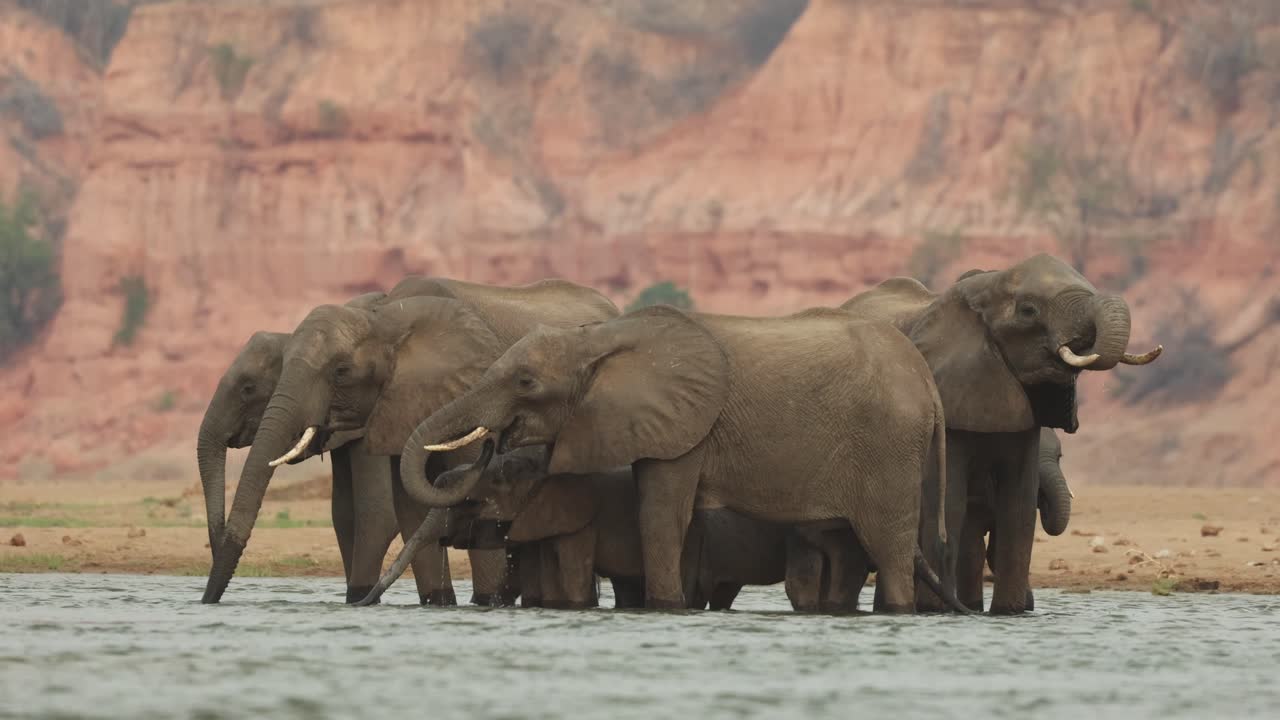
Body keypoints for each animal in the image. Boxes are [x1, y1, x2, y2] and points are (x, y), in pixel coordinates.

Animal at [397, 304, 970, 613]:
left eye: (525, 382)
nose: (490, 442)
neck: (600, 340)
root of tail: (927, 382)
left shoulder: (685, 425)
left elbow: (661, 514)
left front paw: (665, 608)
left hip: (889, 447)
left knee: (888, 547)